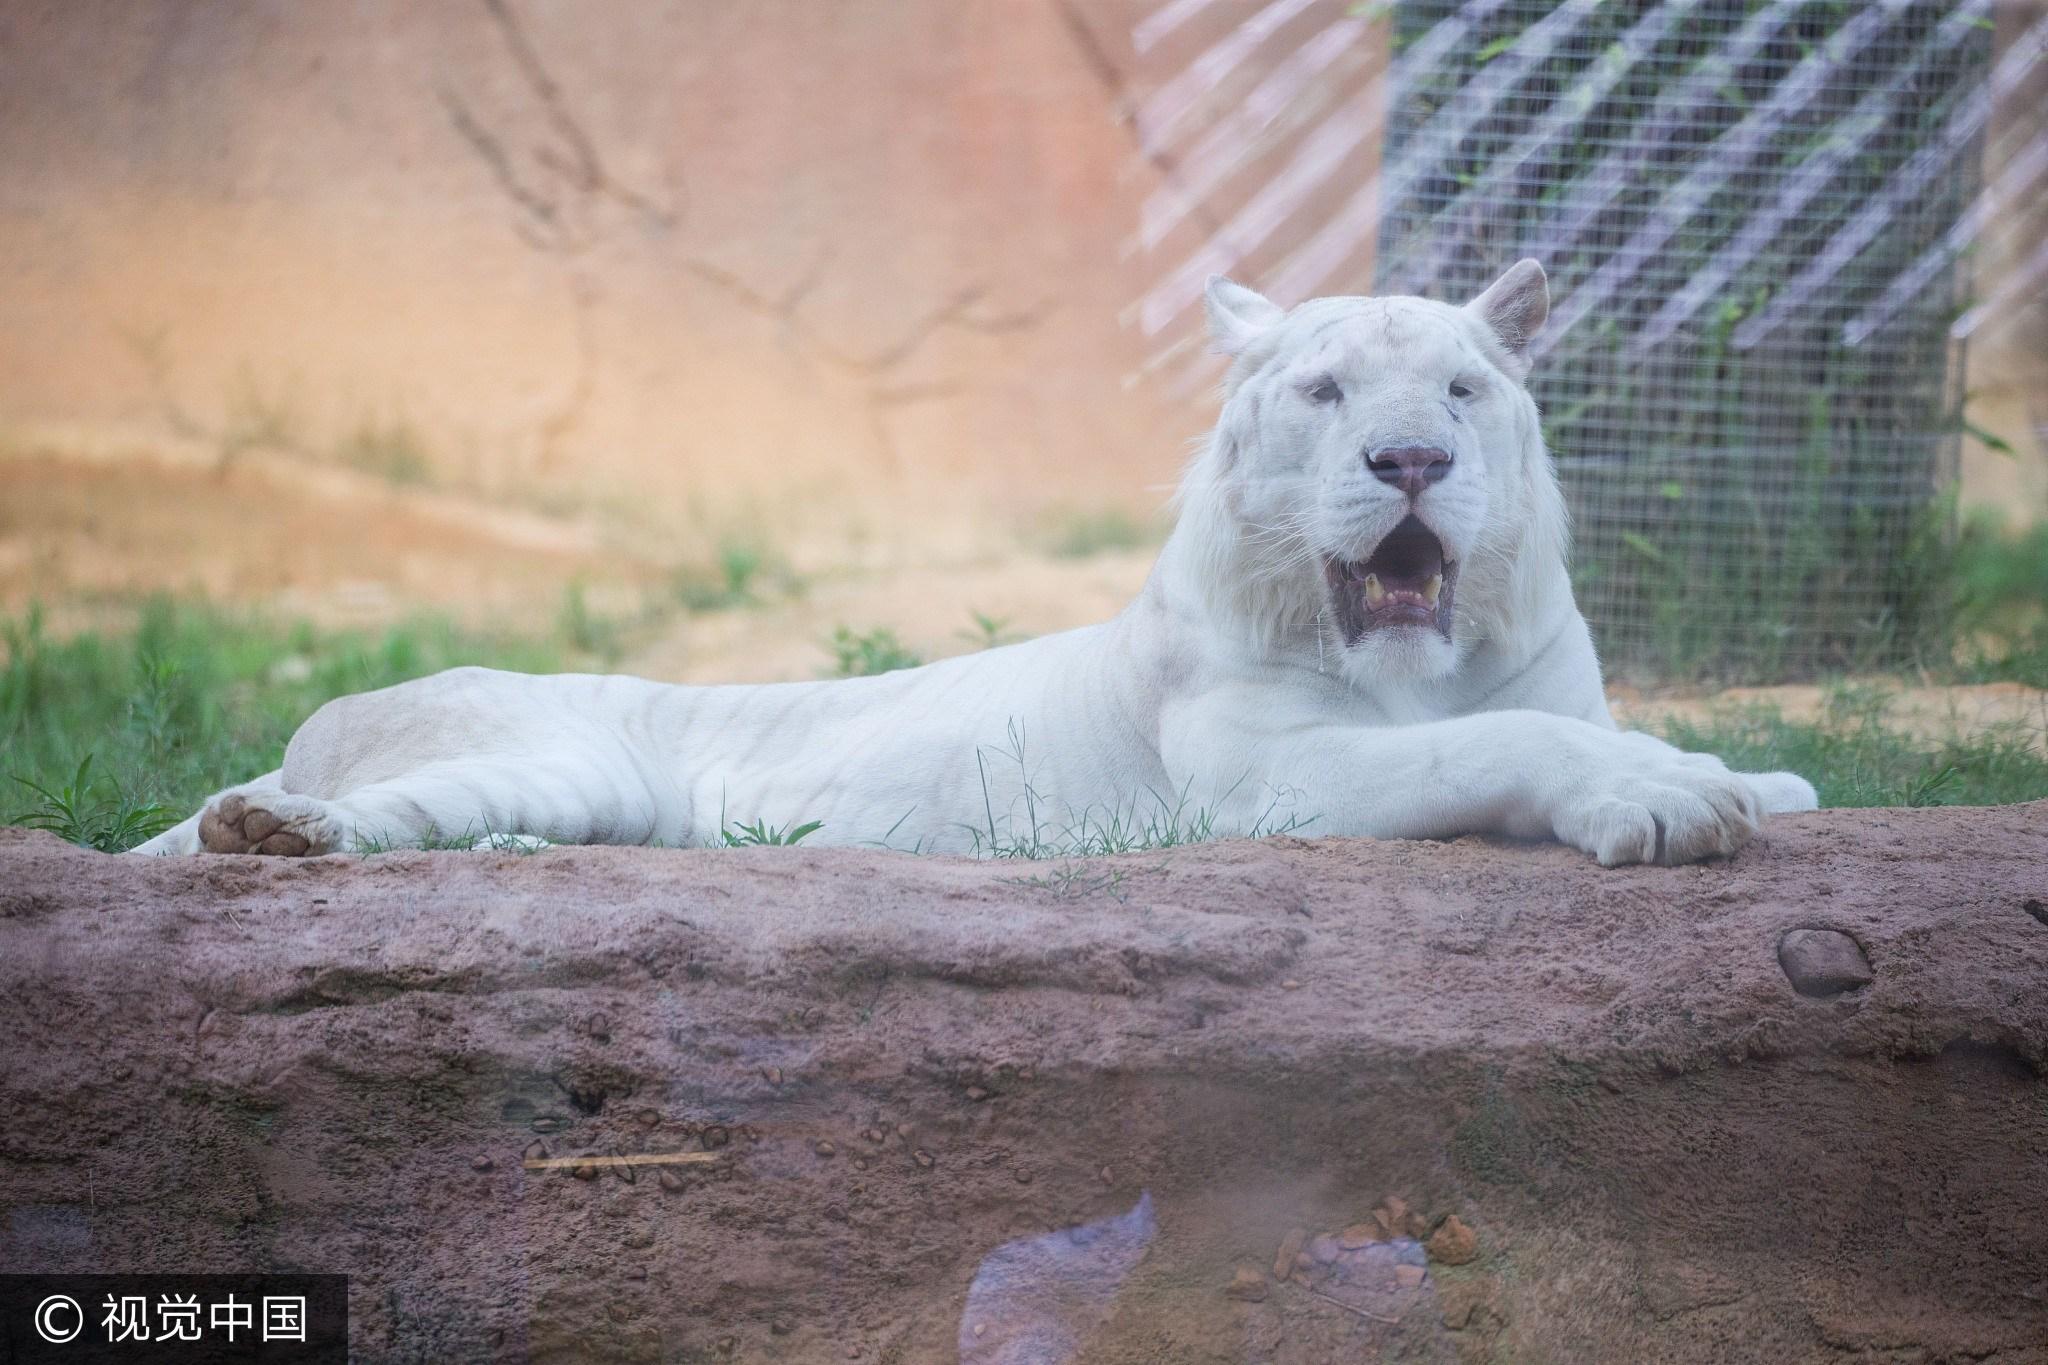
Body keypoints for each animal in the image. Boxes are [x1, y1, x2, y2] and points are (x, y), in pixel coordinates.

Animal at [136, 261, 1818, 863]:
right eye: (1331, 391)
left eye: (1461, 391)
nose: (1411, 461)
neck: (1418, 657)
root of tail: (324, 716)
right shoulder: (1266, 778)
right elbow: (1502, 745)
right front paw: (1672, 802)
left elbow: (1718, 753)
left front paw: (1738, 777)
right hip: (537, 757)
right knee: (312, 825)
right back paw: (274, 832)